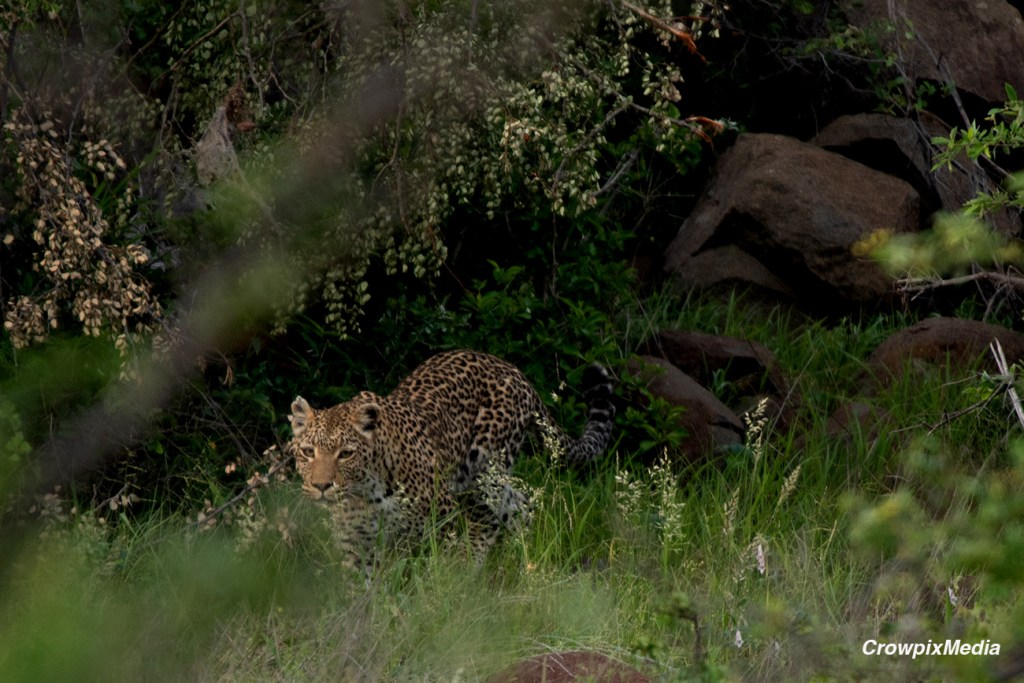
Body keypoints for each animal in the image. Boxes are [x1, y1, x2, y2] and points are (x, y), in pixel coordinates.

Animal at [288, 349, 615, 573]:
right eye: (307, 452)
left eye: (346, 453)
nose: (321, 486)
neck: (366, 491)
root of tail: (515, 371)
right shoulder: (356, 541)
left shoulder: (441, 516)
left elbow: (435, 564)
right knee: (521, 506)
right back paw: (526, 553)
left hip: (484, 474)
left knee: (487, 523)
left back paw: (470, 570)